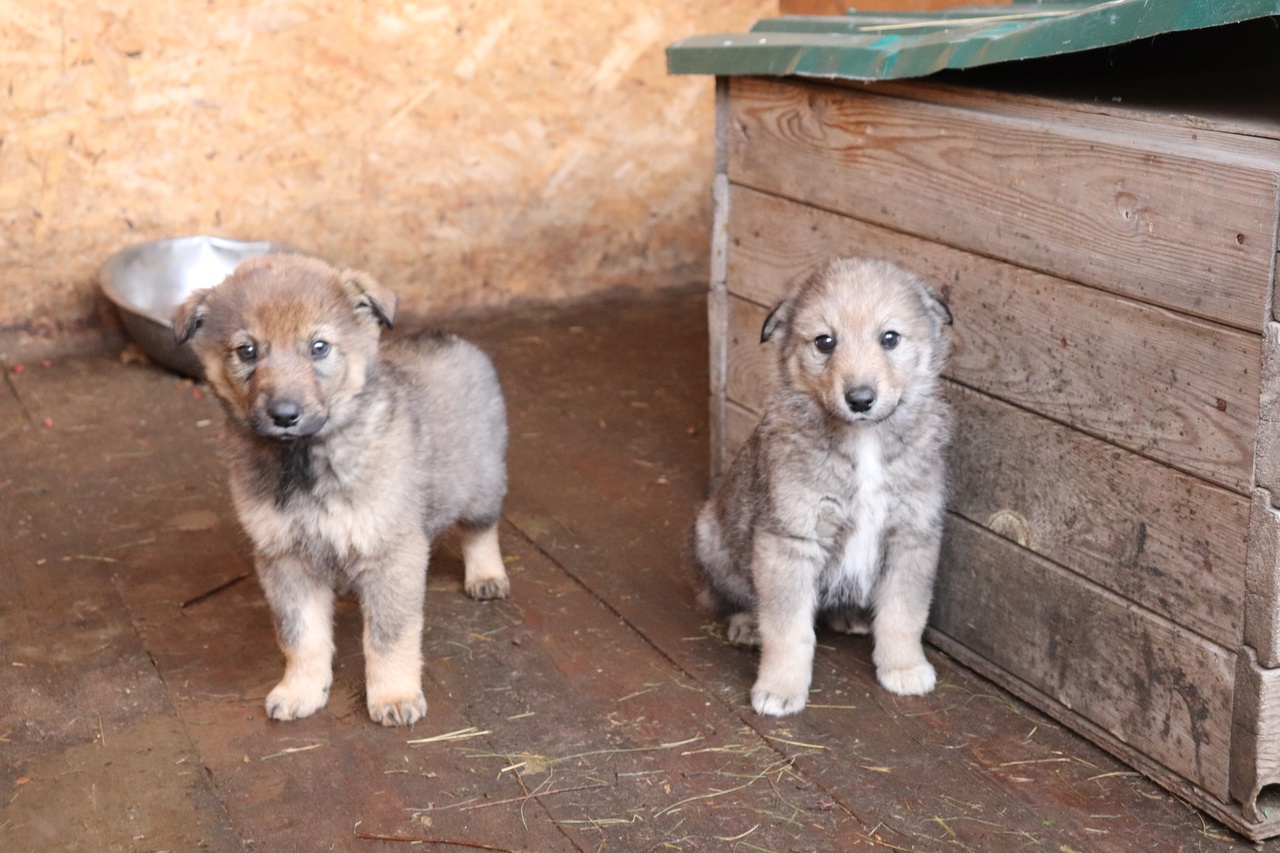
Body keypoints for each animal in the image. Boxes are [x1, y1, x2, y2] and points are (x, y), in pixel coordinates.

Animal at [174, 251, 509, 722]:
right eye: (247, 350)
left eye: (319, 347)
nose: (284, 414)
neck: (305, 462)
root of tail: (449, 338)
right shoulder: (286, 558)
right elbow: (301, 637)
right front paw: (301, 690)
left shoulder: (393, 551)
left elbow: (389, 636)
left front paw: (394, 696)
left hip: (482, 482)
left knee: (481, 529)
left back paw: (486, 575)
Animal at [691, 257, 952, 712]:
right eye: (824, 342)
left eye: (890, 338)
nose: (860, 399)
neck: (864, 444)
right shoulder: (790, 540)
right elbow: (788, 628)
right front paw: (780, 687)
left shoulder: (913, 534)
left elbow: (904, 613)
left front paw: (903, 667)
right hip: (712, 538)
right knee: (733, 596)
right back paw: (747, 625)